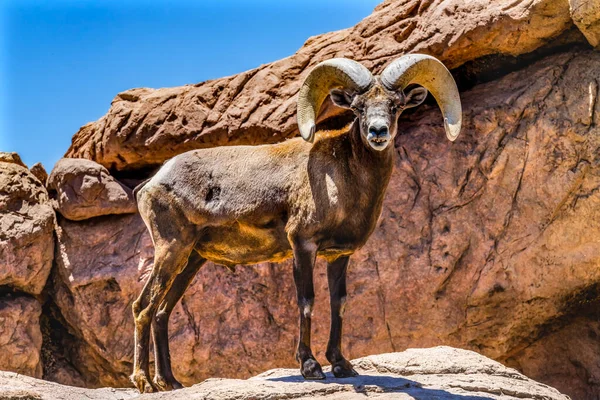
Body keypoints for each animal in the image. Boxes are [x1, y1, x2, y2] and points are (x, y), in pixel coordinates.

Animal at [130, 54, 460, 394]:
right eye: (358, 107)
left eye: (396, 105)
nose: (377, 132)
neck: (346, 180)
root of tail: (151, 183)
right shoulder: (303, 245)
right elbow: (306, 301)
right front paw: (310, 367)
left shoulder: (339, 255)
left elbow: (338, 303)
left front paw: (341, 366)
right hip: (171, 249)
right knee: (143, 307)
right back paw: (144, 382)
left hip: (191, 260)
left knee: (162, 312)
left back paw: (170, 382)